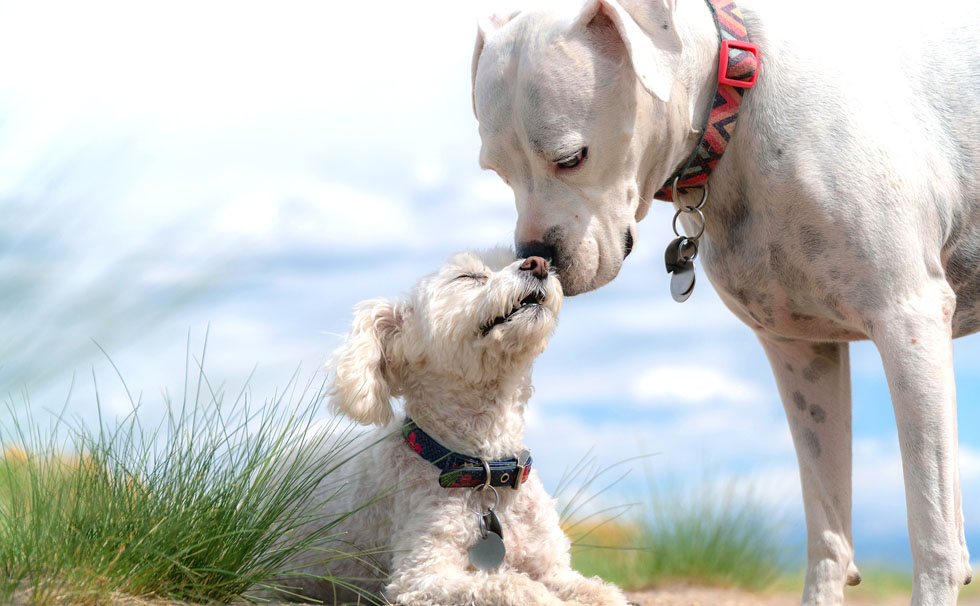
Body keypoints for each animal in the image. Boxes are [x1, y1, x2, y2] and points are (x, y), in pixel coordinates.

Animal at [288, 248, 632, 606]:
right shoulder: (421, 578)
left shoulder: (553, 568)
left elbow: (603, 592)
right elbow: (514, 585)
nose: (538, 263)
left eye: (517, 258)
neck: (486, 469)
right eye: (468, 277)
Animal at [470, 1, 976, 606]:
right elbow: (828, 530)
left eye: (571, 158)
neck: (735, 103)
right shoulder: (801, 352)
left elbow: (932, 527)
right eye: (497, 171)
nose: (535, 258)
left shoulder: (909, 322)